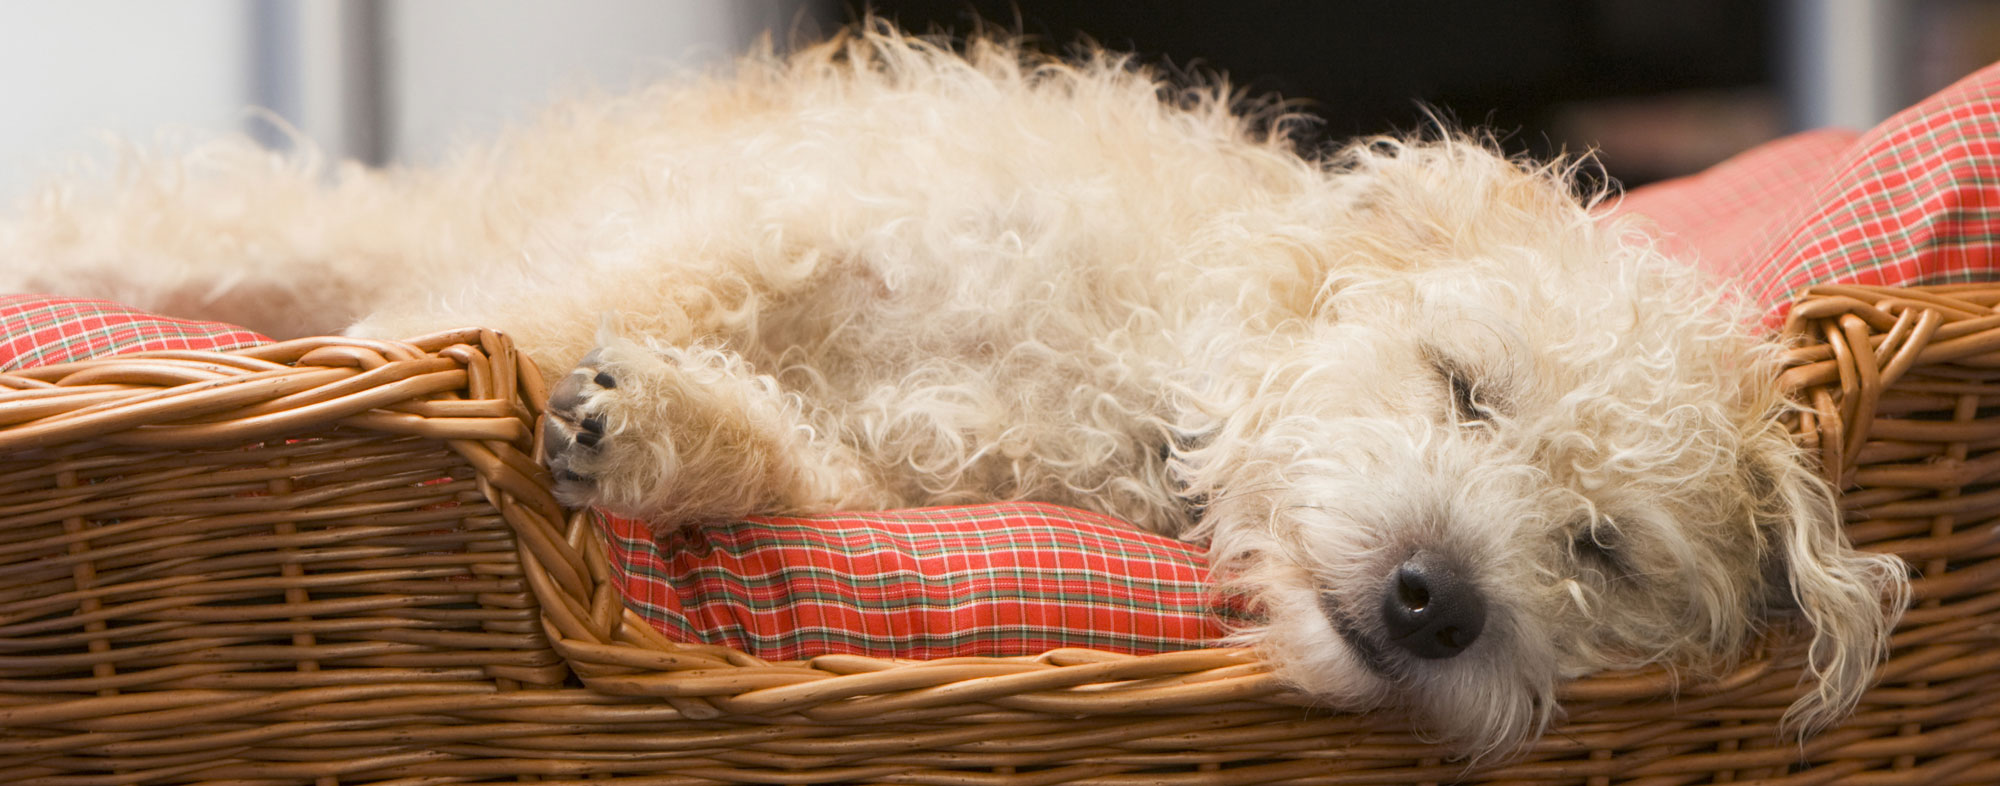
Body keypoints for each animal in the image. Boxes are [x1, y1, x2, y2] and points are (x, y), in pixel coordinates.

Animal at [0, 29, 1904, 752]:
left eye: (1602, 549)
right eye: (1466, 385)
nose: (1439, 599)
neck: (1147, 373)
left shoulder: (910, 481)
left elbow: (790, 468)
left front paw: (666, 433)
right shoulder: (783, 222)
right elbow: (555, 308)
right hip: (267, 231)